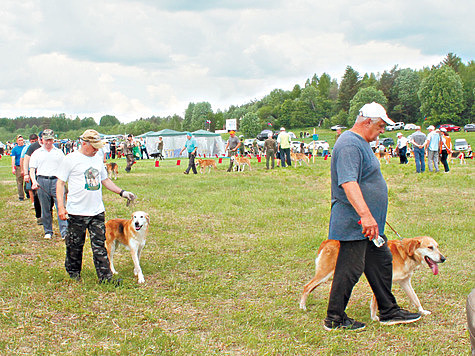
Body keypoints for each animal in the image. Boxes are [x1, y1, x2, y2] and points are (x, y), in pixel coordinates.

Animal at [302, 236, 446, 320]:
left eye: (438, 247)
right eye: (430, 247)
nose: (443, 258)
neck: (405, 253)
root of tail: (327, 241)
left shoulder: (405, 282)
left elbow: (415, 299)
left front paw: (422, 311)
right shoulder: (382, 280)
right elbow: (375, 302)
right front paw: (374, 318)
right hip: (324, 274)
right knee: (306, 287)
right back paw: (302, 307)